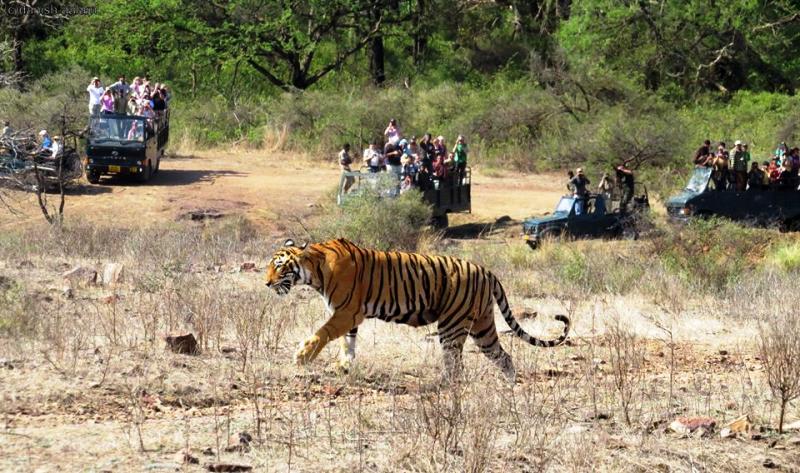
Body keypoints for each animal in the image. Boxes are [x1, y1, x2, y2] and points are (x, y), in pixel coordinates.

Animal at [266, 236, 572, 380]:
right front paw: (344, 365)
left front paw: (302, 357)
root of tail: (486, 271)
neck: (315, 270)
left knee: (456, 365)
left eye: (279, 266)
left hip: (452, 325)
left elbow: (322, 333)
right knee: (503, 357)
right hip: (482, 326)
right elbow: (347, 343)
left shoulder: (346, 312)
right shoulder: (349, 316)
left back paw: (443, 385)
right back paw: (509, 387)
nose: (266, 283)